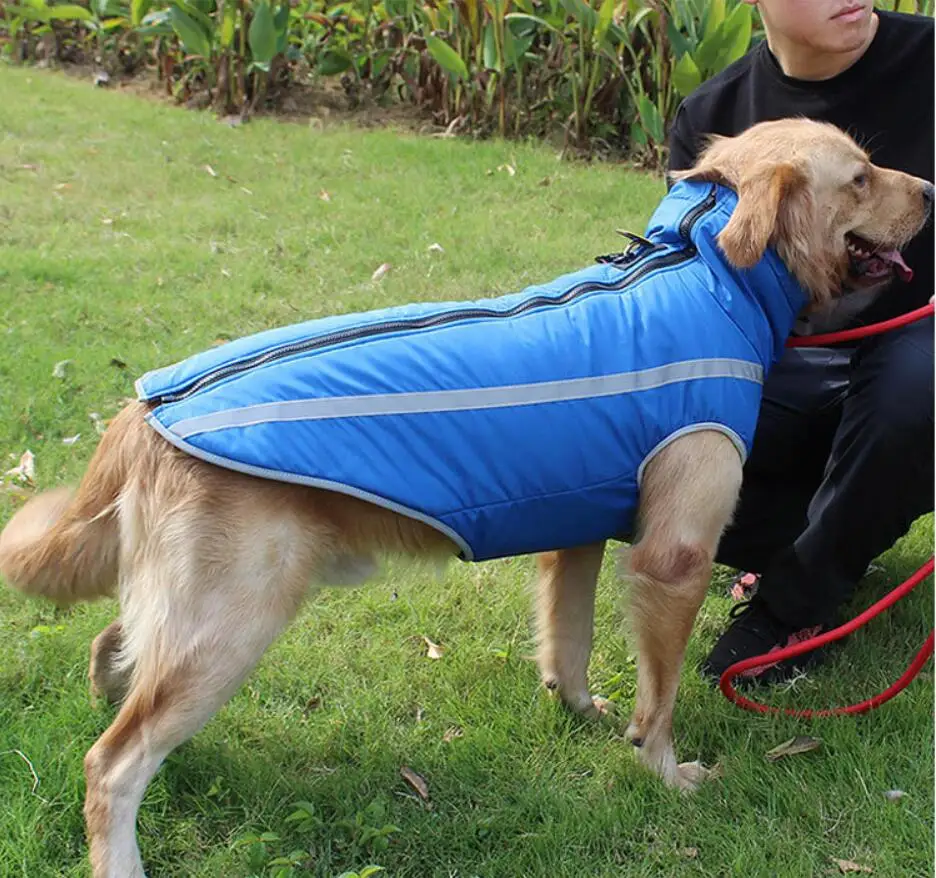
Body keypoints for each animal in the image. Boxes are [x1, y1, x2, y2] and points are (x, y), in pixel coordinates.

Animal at [3, 118, 932, 878]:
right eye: (860, 176)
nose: (928, 190)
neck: (698, 269)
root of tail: (144, 410)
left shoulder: (579, 533)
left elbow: (568, 643)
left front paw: (582, 711)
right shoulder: (673, 559)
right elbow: (659, 700)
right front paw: (665, 771)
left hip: (194, 611)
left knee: (114, 657)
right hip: (233, 619)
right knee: (110, 762)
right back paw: (123, 848)